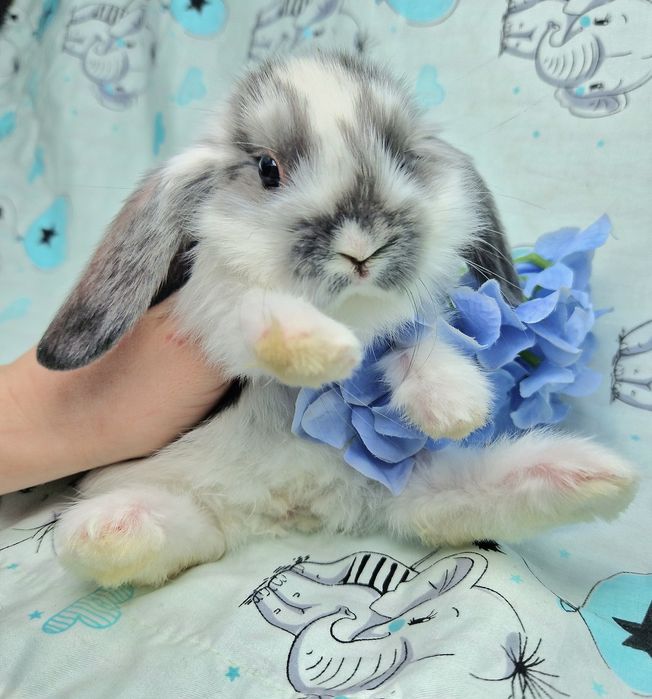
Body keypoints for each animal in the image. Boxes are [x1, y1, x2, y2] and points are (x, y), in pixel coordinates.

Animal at [37, 53, 637, 588]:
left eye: (402, 156)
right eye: (268, 169)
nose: (362, 246)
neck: (352, 312)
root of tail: (284, 505)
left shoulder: (401, 329)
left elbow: (417, 347)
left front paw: (456, 406)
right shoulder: (211, 302)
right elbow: (251, 306)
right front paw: (317, 347)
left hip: (404, 485)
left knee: (447, 507)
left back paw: (596, 479)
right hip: (183, 494)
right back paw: (108, 531)